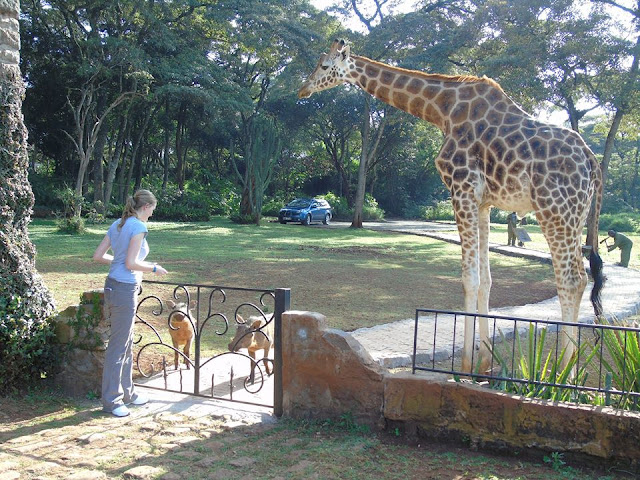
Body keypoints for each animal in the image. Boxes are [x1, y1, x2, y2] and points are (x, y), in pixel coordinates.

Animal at [300, 39, 604, 374]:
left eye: (325, 66)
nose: (303, 89)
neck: (443, 110)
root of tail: (592, 162)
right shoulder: (483, 202)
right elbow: (485, 280)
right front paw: (484, 364)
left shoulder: (461, 188)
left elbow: (468, 278)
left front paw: (465, 365)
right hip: (575, 215)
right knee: (582, 277)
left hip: (554, 209)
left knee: (571, 280)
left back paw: (563, 374)